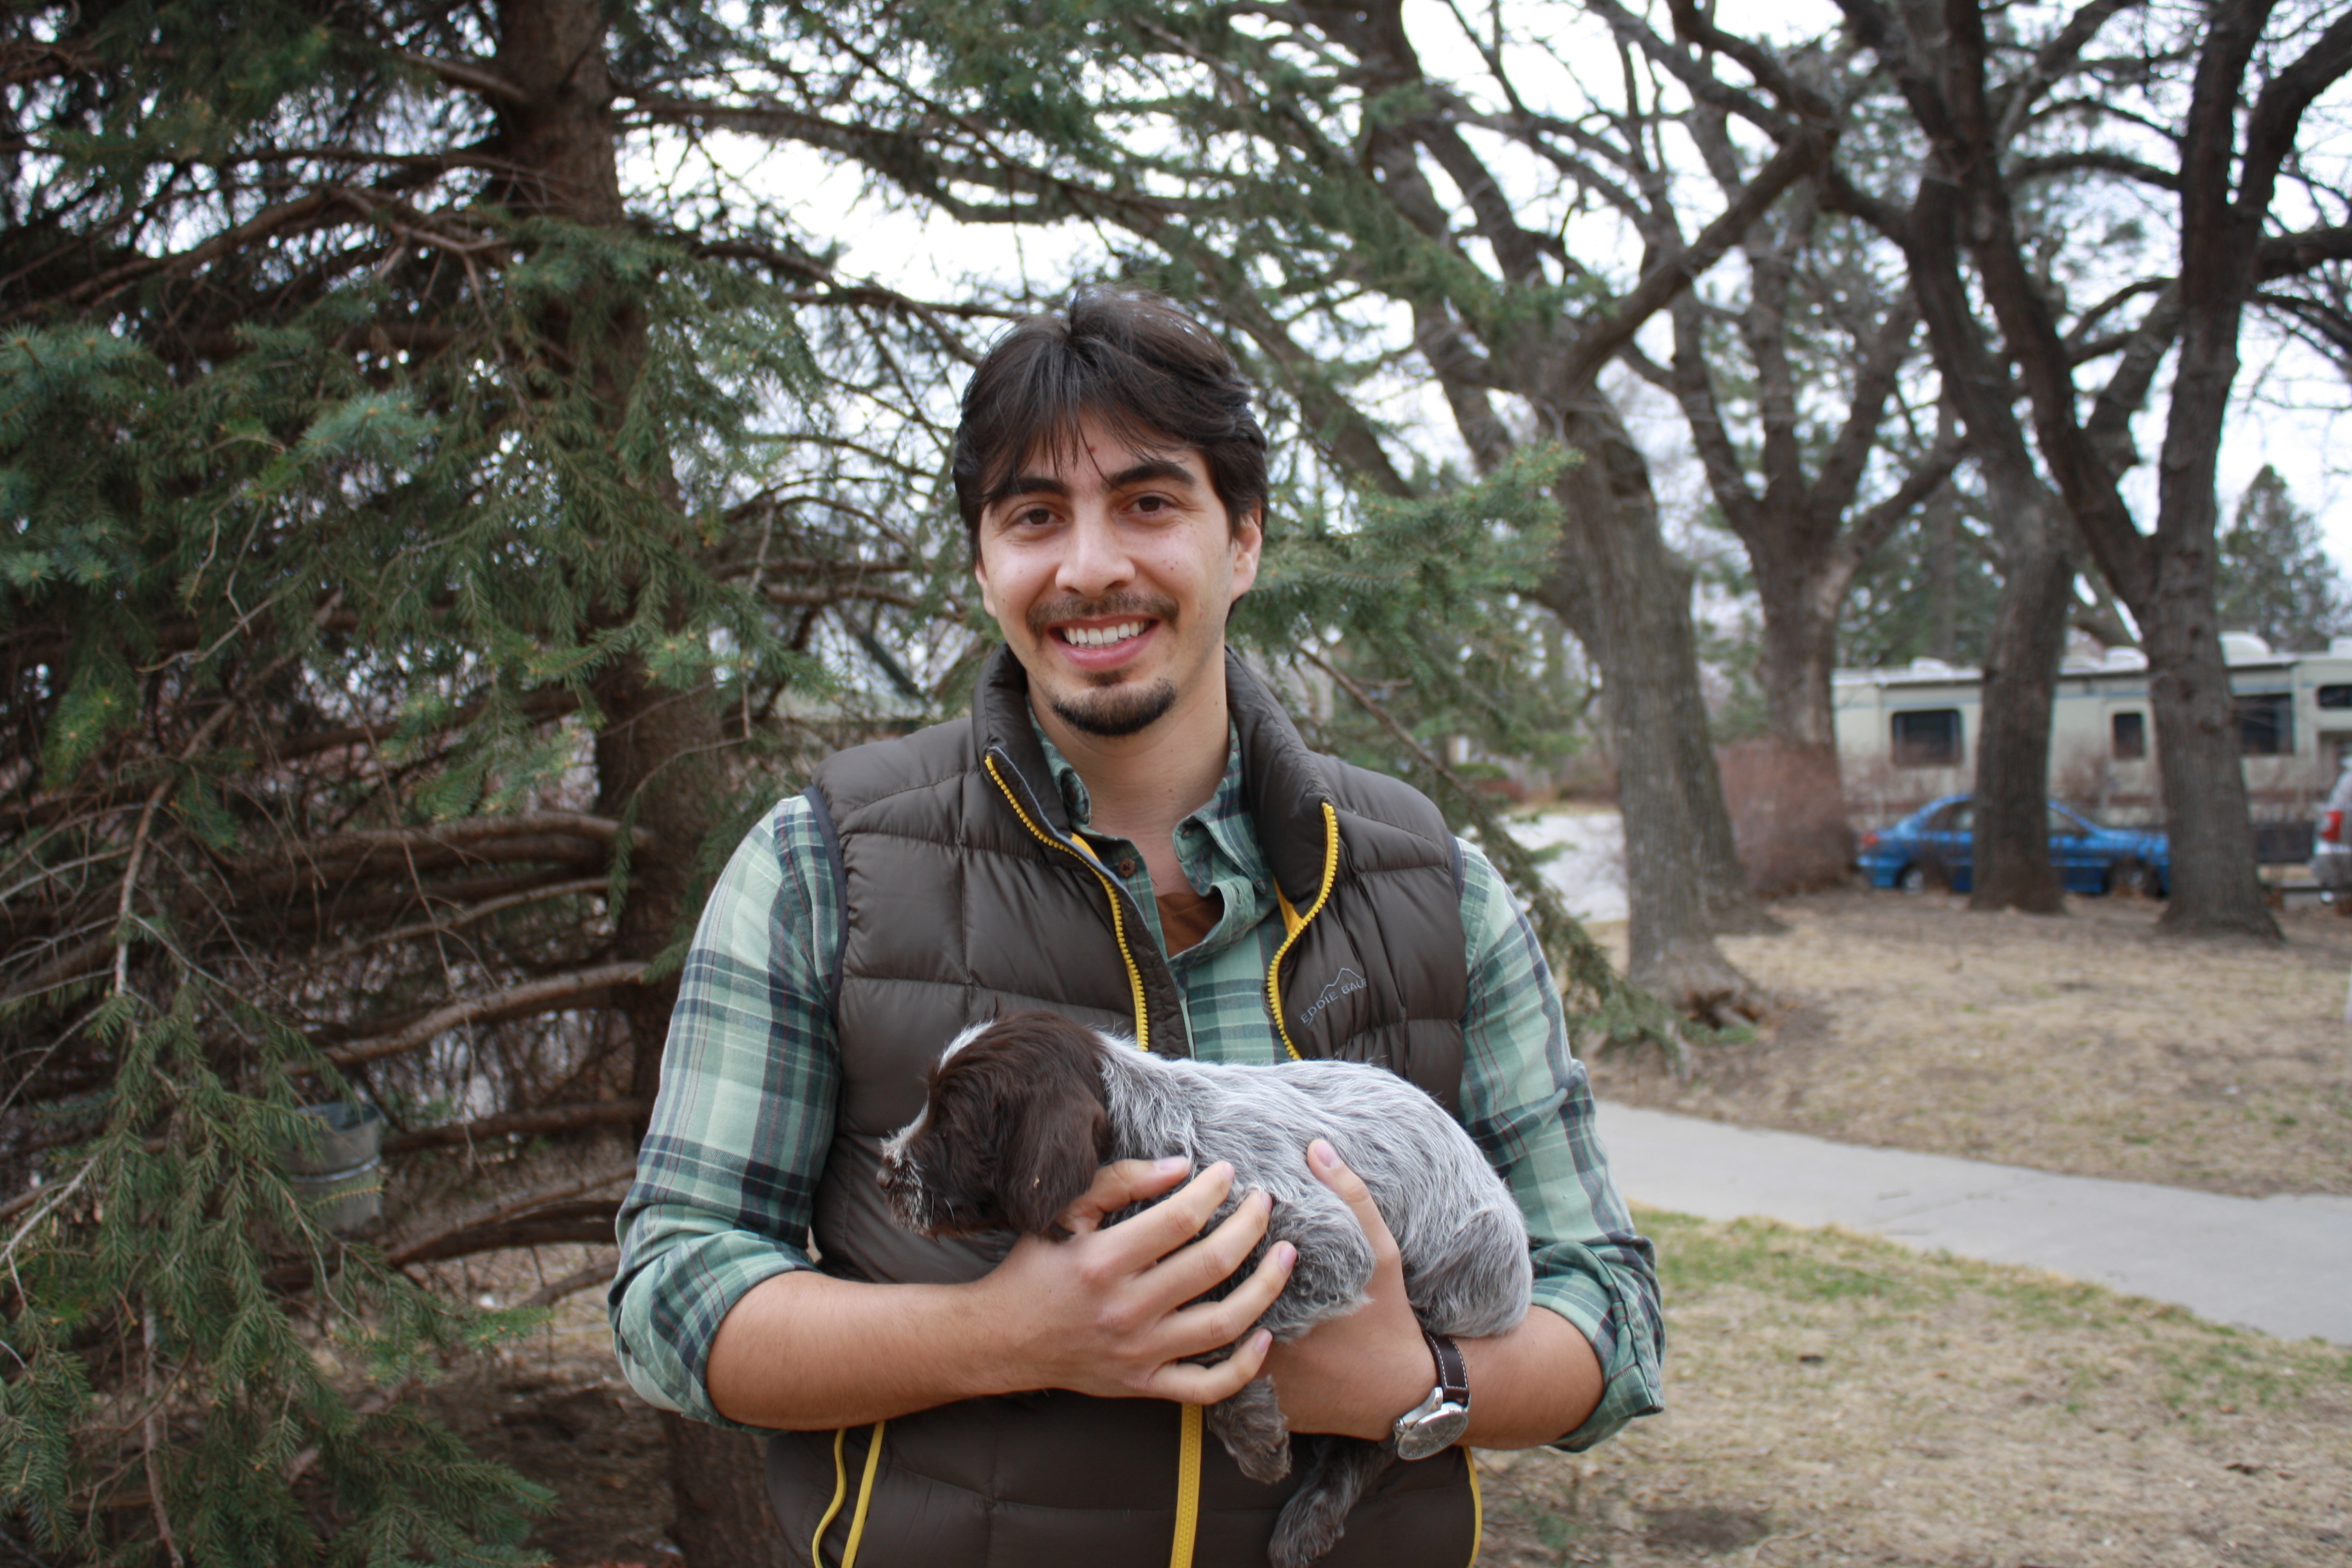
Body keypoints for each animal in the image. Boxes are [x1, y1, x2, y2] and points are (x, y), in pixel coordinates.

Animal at [878, 1009, 1532, 1568]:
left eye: (952, 1125)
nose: (884, 1172)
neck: (1148, 1131)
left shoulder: (1327, 1244)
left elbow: (1216, 1320)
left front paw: (1251, 1431)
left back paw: (1313, 1514)